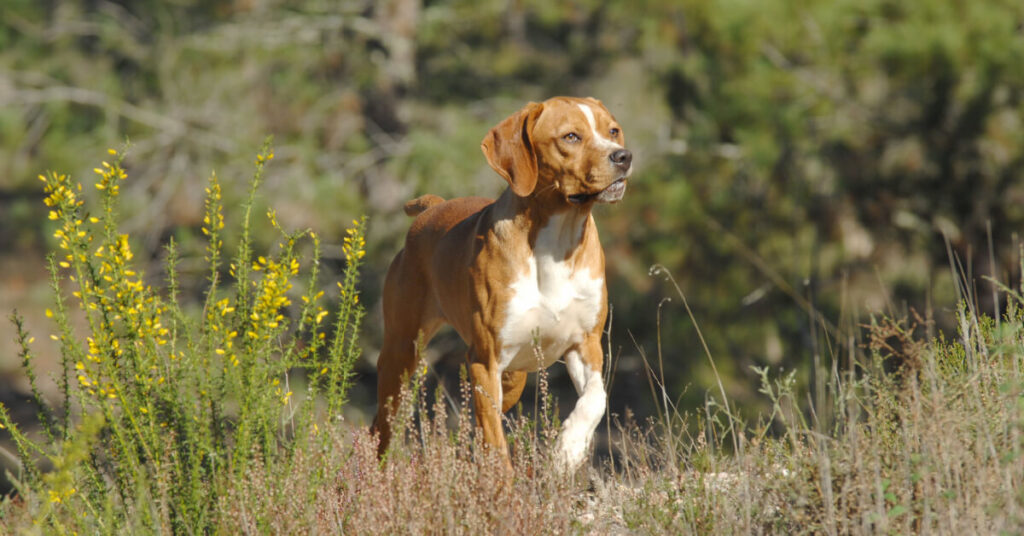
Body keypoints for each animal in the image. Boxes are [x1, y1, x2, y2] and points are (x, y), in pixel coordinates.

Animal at [374, 96, 630, 469]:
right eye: (570, 137)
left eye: (613, 131)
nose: (623, 157)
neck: (557, 243)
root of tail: (431, 208)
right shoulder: (485, 359)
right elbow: (496, 445)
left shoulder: (586, 344)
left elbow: (597, 398)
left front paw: (568, 449)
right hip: (402, 353)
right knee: (383, 425)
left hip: (513, 379)